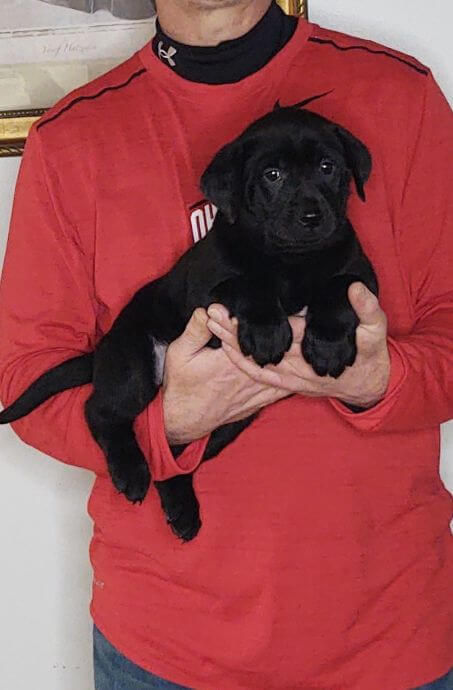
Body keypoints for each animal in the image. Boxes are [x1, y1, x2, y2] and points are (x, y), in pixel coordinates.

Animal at [0, 106, 374, 536]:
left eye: (328, 167)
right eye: (272, 174)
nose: (311, 216)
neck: (291, 260)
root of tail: (102, 352)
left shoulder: (363, 276)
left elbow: (338, 287)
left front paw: (328, 344)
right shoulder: (208, 291)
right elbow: (248, 285)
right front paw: (267, 331)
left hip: (227, 423)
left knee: (174, 454)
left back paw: (180, 510)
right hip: (134, 364)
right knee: (101, 412)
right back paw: (131, 473)